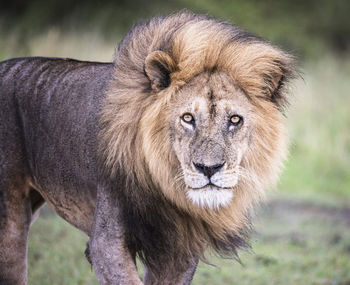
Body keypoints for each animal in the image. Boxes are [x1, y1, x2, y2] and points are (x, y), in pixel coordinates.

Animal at [0, 11, 296, 284]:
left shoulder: (180, 247)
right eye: (187, 118)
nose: (208, 169)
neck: (164, 186)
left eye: (234, 120)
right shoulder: (107, 242)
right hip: (10, 225)